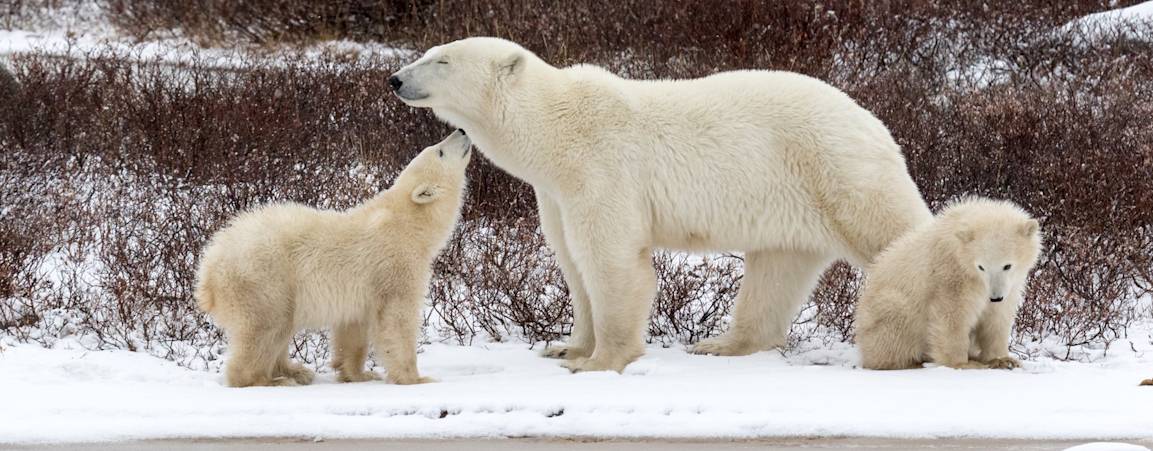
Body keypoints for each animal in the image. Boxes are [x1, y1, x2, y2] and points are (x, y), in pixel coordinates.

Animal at [196, 130, 470, 387]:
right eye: (439, 152)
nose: (461, 131)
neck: (408, 223)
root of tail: (209, 269)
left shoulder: (360, 289)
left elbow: (353, 328)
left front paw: (359, 374)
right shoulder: (396, 266)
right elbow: (396, 320)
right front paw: (417, 378)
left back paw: (296, 371)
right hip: (263, 280)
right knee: (266, 328)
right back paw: (272, 380)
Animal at [392, 37, 931, 373]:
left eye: (443, 61)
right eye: (429, 52)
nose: (395, 79)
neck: (556, 131)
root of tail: (875, 123)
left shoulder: (602, 168)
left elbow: (610, 258)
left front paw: (600, 361)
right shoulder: (557, 193)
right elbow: (572, 262)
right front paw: (566, 347)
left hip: (838, 172)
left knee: (895, 236)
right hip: (791, 203)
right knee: (777, 270)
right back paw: (720, 344)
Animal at [853, 198, 1042, 371]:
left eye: (1007, 265)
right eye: (981, 267)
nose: (995, 297)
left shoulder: (1010, 285)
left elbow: (996, 318)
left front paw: (1002, 360)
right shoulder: (951, 274)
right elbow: (952, 315)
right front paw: (963, 363)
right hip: (888, 310)